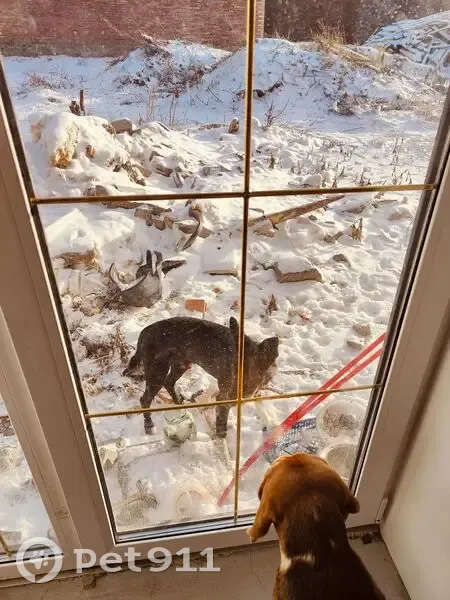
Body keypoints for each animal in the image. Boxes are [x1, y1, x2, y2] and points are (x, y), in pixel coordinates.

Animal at [124, 316, 279, 438]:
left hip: (181, 364)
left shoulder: (254, 392)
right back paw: (149, 426)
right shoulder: (223, 399)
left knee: (169, 382)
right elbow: (222, 425)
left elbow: (260, 405)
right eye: (230, 368)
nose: (228, 399)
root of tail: (144, 332)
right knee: (145, 399)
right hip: (157, 372)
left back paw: (178, 402)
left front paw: (271, 424)